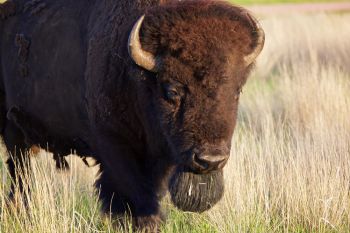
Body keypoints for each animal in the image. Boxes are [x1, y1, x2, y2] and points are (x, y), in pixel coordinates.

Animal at [0, 0, 264, 230]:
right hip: (14, 136)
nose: (210, 160)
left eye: (237, 91)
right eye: (172, 90)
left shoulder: (161, 158)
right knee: (20, 175)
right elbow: (134, 196)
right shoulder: (114, 148)